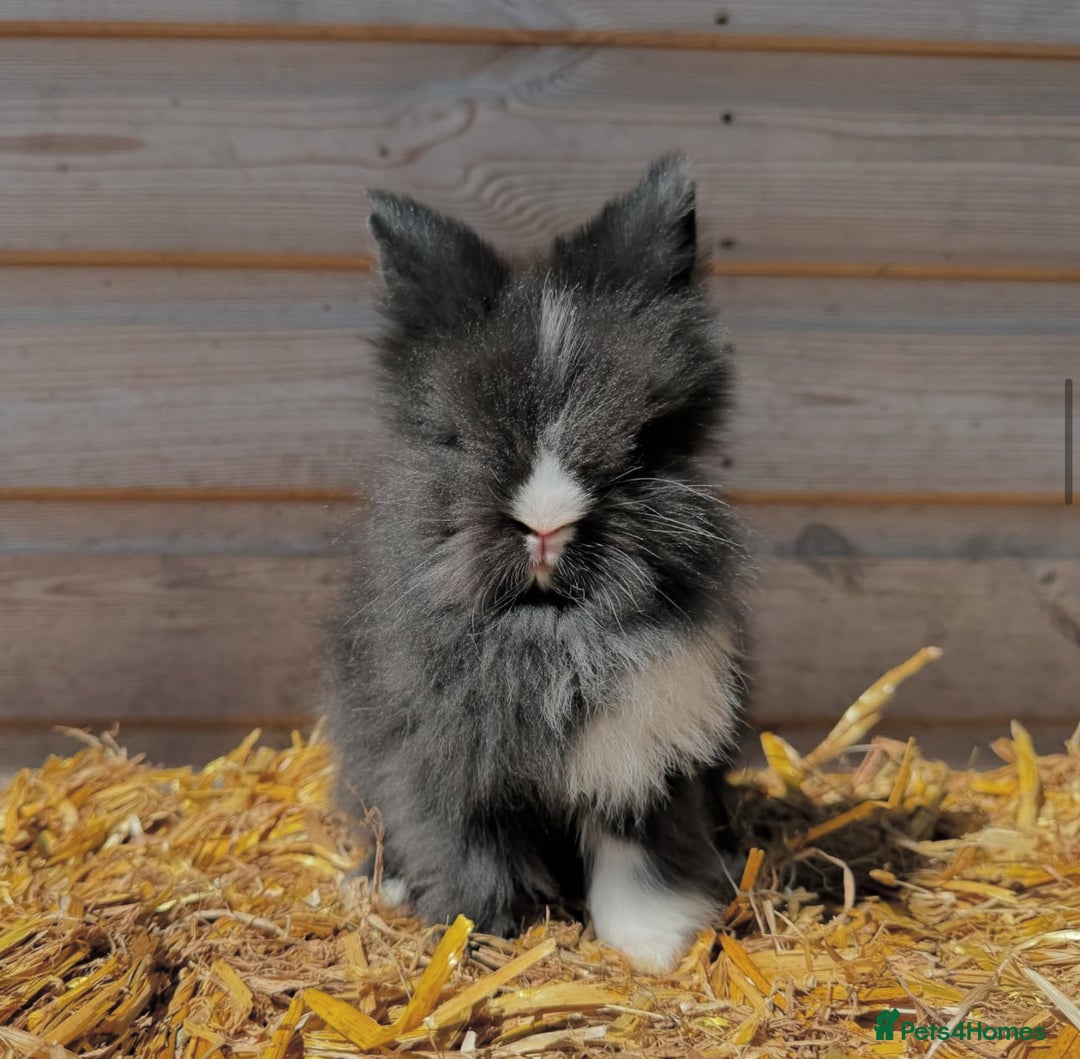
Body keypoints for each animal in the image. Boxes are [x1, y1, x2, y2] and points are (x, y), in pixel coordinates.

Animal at [327, 156, 751, 973]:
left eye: (648, 442)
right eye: (455, 439)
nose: (547, 523)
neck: (548, 633)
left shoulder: (643, 758)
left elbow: (634, 855)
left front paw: (652, 947)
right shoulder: (437, 768)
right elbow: (462, 851)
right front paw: (476, 933)